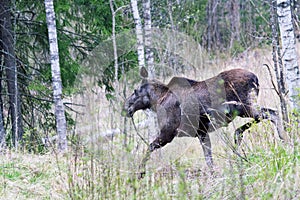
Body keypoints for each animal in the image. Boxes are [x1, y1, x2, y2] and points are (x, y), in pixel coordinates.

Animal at [123, 68, 282, 177]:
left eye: (135, 91)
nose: (125, 107)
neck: (156, 101)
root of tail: (255, 77)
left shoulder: (168, 133)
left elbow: (149, 147)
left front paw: (140, 173)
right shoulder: (202, 132)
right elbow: (208, 158)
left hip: (244, 107)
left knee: (272, 114)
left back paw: (282, 138)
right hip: (245, 108)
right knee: (268, 115)